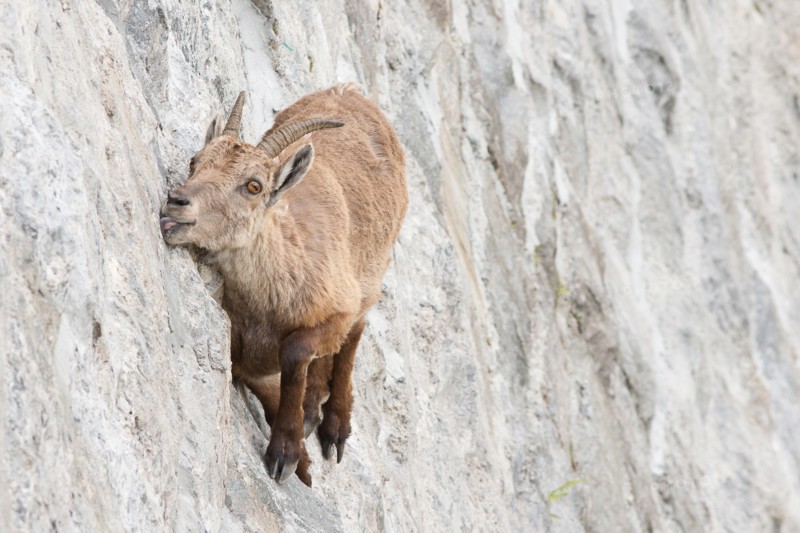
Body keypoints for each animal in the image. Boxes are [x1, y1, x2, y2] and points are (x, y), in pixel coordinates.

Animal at [160, 84, 408, 486]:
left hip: (373, 270)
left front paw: (285, 451)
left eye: (253, 186)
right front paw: (298, 449)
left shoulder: (338, 309)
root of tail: (350, 90)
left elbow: (297, 350)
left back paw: (334, 423)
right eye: (195, 161)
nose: (176, 202)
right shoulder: (243, 358)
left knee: (357, 331)